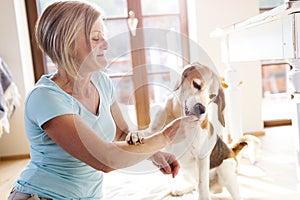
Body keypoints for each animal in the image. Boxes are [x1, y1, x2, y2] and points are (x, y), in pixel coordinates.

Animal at [126, 62, 258, 200]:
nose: (201, 109)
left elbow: (202, 185)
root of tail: (231, 151)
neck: (178, 115)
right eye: (196, 84)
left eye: (212, 96)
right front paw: (136, 134)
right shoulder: (155, 131)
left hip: (226, 169)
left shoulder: (202, 156)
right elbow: (148, 133)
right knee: (195, 185)